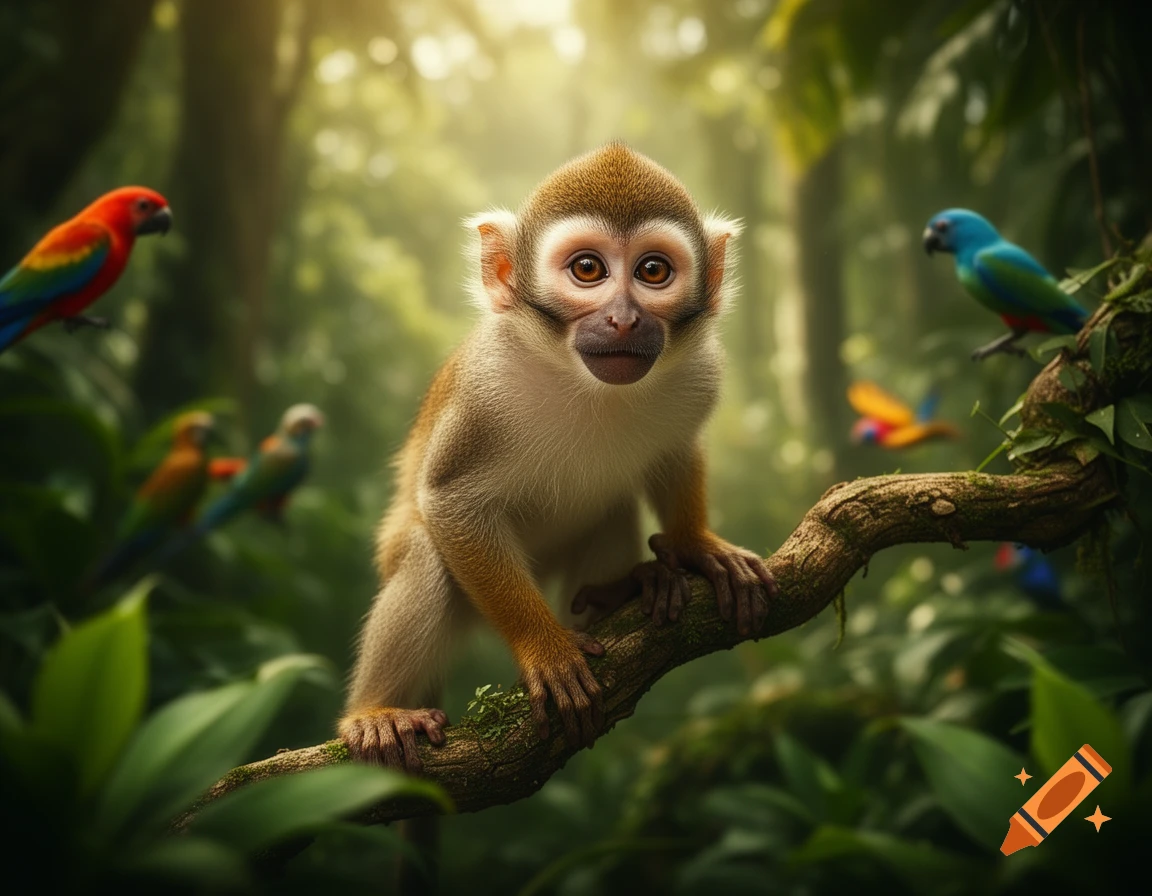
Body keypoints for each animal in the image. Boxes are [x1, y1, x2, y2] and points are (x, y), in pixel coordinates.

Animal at [340, 142, 778, 772]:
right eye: (588, 270)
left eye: (653, 271)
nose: (624, 319)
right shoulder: (484, 387)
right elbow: (448, 499)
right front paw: (543, 648)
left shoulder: (700, 370)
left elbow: (676, 450)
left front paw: (698, 546)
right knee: (425, 553)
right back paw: (375, 711)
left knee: (612, 510)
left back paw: (627, 588)